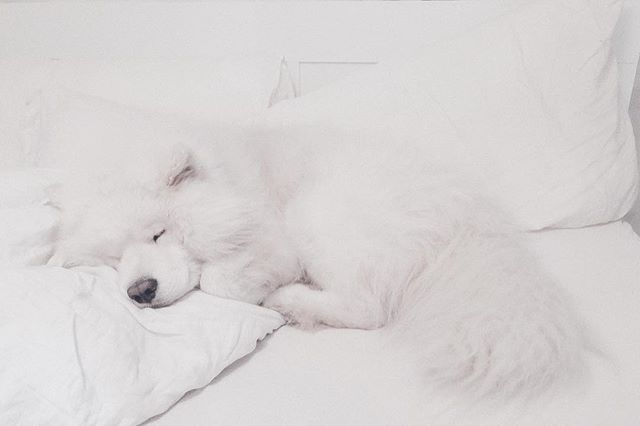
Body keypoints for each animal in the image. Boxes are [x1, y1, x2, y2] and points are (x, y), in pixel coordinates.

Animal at [48, 128, 580, 398]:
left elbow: (222, 280)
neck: (236, 185)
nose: (139, 291)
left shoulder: (277, 239)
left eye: (158, 232)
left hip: (319, 211)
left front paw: (259, 285)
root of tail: (468, 224)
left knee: (368, 309)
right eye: (112, 260)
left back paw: (292, 302)